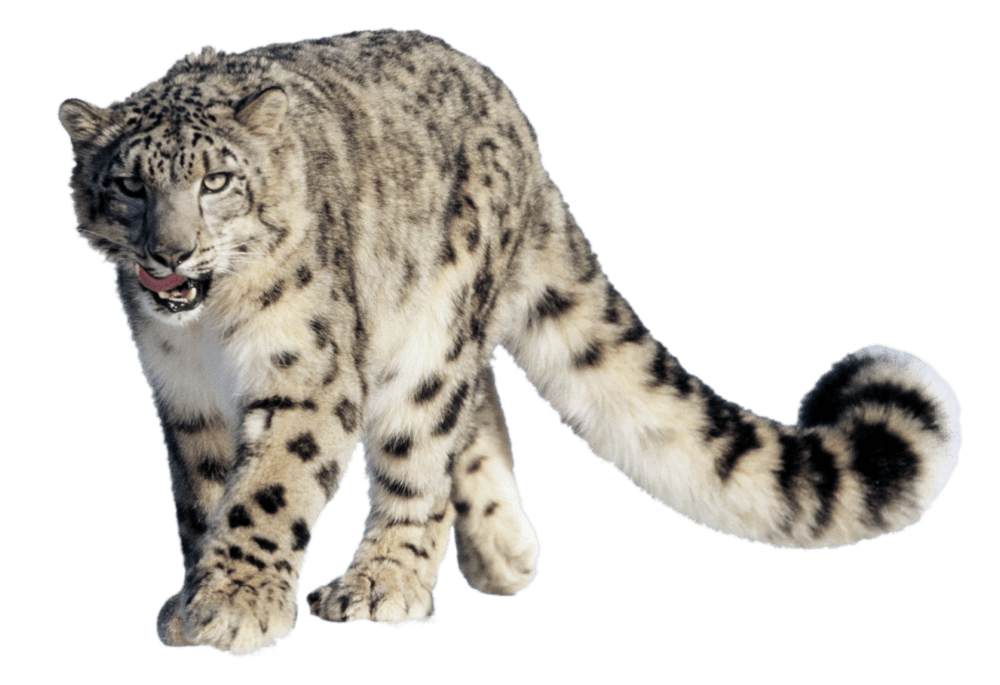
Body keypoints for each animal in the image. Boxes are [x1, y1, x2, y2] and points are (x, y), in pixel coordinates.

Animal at [56, 28, 963, 657]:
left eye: (217, 182)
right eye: (129, 183)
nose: (170, 254)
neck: (209, 336)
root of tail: (511, 112)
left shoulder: (304, 374)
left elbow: (269, 487)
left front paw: (237, 603)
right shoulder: (184, 396)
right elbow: (203, 494)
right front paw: (197, 597)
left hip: (431, 328)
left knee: (425, 442)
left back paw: (384, 582)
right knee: (477, 406)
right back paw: (503, 551)